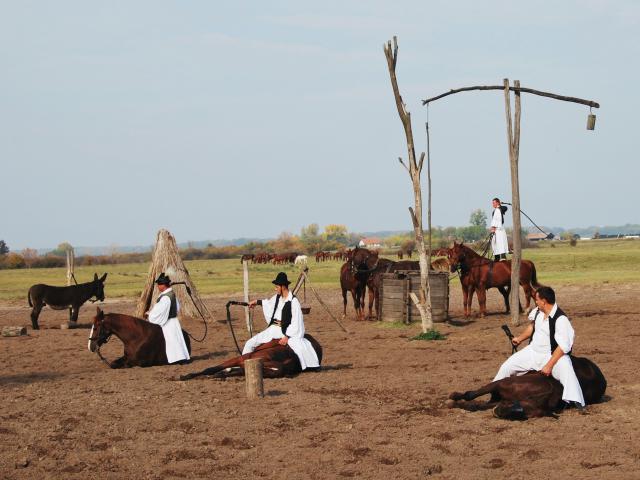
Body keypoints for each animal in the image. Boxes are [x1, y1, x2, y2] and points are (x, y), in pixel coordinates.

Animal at [179, 335, 322, 380]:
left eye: (266, 374)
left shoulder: (243, 366)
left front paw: (219, 375)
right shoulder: (242, 358)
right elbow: (210, 369)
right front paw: (185, 376)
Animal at [448, 356, 607, 419]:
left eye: (526, 415)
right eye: (517, 405)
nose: (499, 412)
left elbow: (479, 404)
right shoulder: (500, 383)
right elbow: (471, 395)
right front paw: (453, 399)